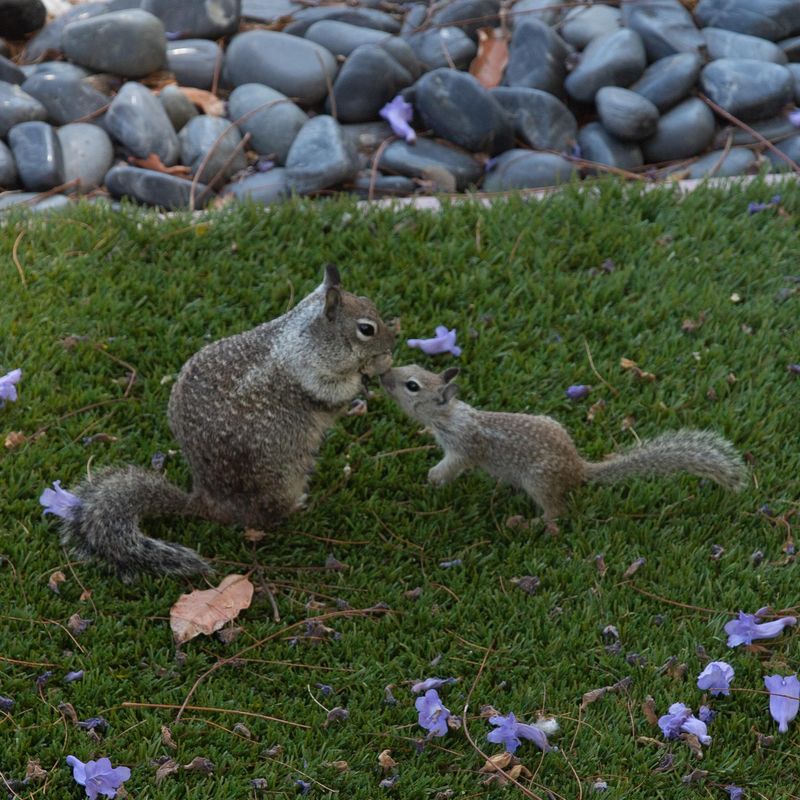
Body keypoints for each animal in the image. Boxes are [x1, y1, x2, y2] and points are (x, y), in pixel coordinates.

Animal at [59, 265, 395, 580]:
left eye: (369, 301)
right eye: (366, 329)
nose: (392, 345)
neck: (305, 335)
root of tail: (207, 500)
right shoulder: (311, 372)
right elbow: (333, 392)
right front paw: (365, 377)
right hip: (280, 479)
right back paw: (298, 505)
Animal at [380, 365, 747, 526]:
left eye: (412, 385)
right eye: (412, 367)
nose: (383, 376)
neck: (450, 415)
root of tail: (578, 467)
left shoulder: (462, 447)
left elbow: (451, 466)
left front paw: (433, 478)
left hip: (539, 481)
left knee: (558, 510)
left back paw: (533, 523)